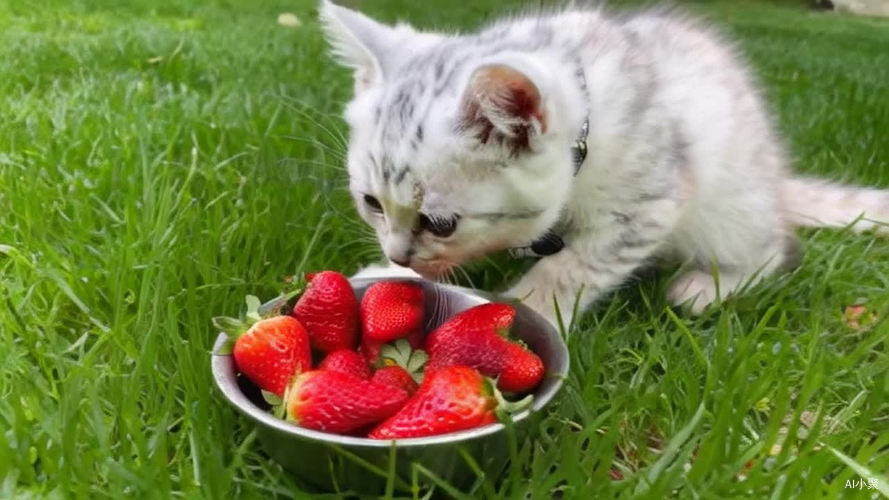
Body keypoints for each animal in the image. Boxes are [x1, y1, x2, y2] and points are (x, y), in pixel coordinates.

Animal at [320, 0, 888, 326]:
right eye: (371, 202)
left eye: (441, 223)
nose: (397, 253)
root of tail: (776, 179)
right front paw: (389, 278)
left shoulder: (649, 203)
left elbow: (571, 269)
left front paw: (523, 315)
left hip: (732, 203)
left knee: (776, 251)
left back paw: (706, 286)